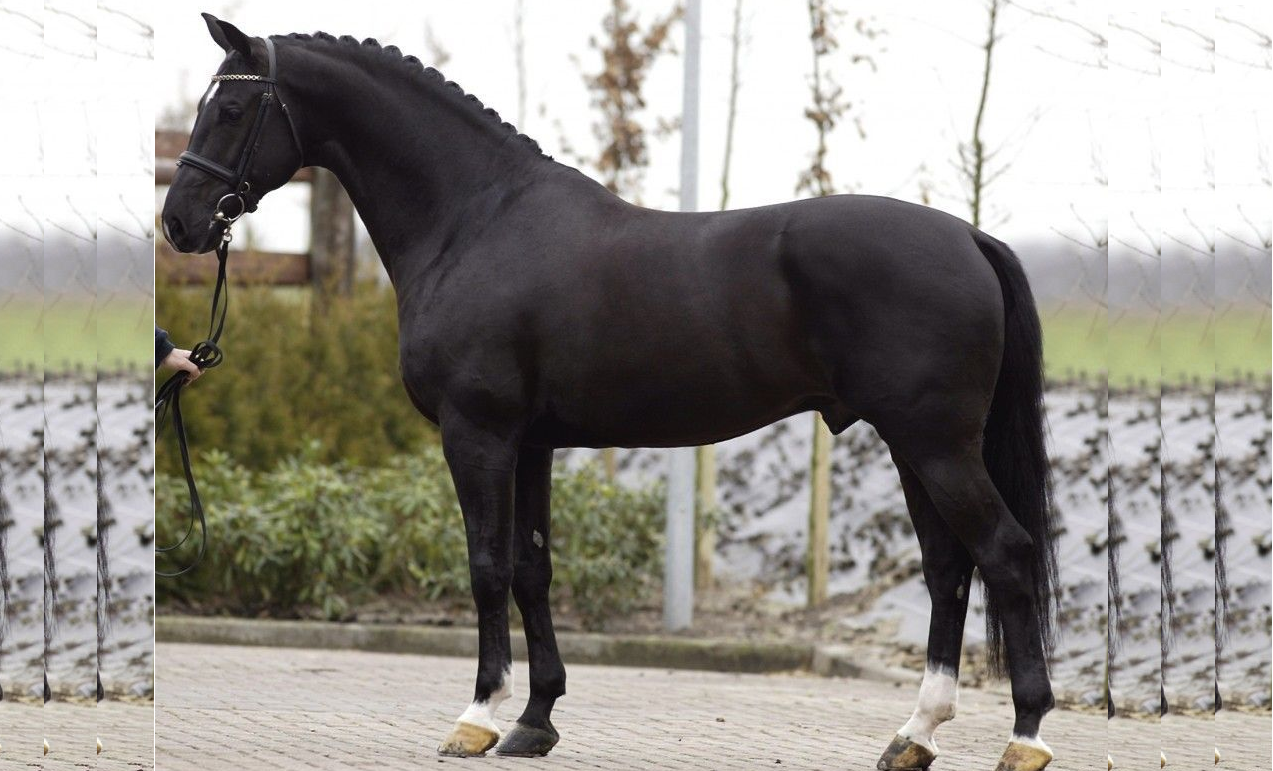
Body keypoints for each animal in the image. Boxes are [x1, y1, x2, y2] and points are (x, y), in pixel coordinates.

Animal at [162, 15, 1059, 770]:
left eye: (232, 109)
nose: (181, 223)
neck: (475, 220)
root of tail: (968, 236)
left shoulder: (477, 433)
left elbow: (486, 564)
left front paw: (477, 717)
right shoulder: (531, 442)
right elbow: (532, 568)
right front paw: (535, 720)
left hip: (933, 443)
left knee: (1004, 552)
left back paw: (1022, 736)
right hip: (915, 444)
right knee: (948, 567)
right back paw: (912, 735)